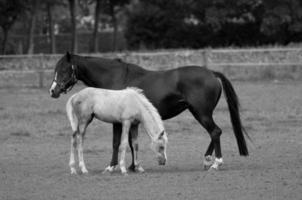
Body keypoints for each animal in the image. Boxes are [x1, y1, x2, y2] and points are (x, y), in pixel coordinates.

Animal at [49, 52, 248, 171]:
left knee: (215, 132)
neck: (114, 77)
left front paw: (112, 167)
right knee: (214, 133)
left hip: (202, 113)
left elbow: (116, 143)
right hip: (200, 113)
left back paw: (215, 163)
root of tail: (212, 73)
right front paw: (132, 166)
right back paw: (207, 160)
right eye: (55, 69)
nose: (53, 91)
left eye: (64, 69)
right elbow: (131, 143)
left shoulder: (117, 121)